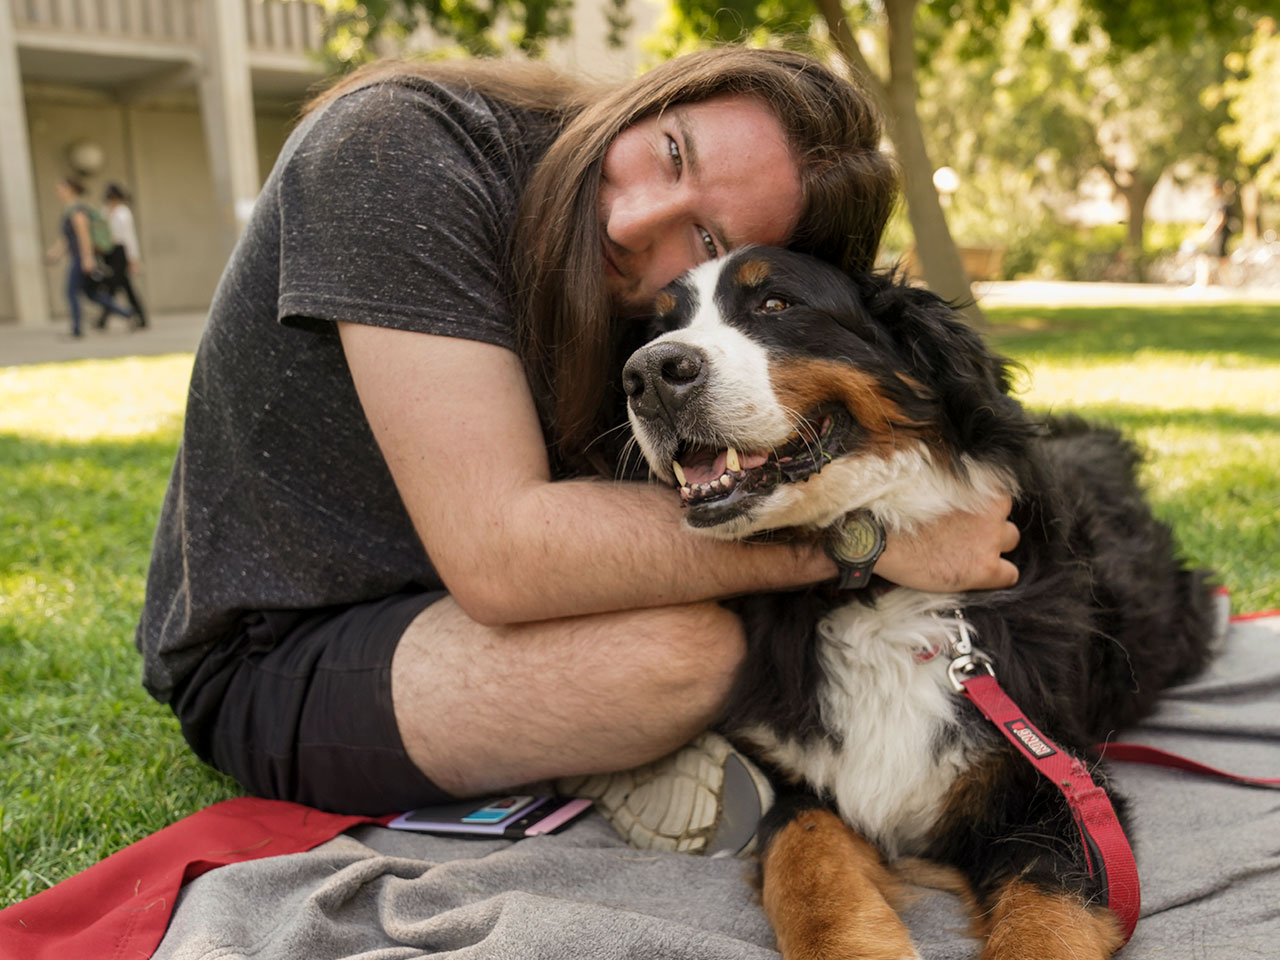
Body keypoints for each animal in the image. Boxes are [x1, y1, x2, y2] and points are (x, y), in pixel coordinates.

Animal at [624, 248, 1213, 960]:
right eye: (659, 328)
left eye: (776, 304)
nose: (649, 374)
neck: (874, 601)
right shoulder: (801, 783)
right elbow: (804, 859)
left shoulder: (1053, 792)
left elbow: (1045, 924)